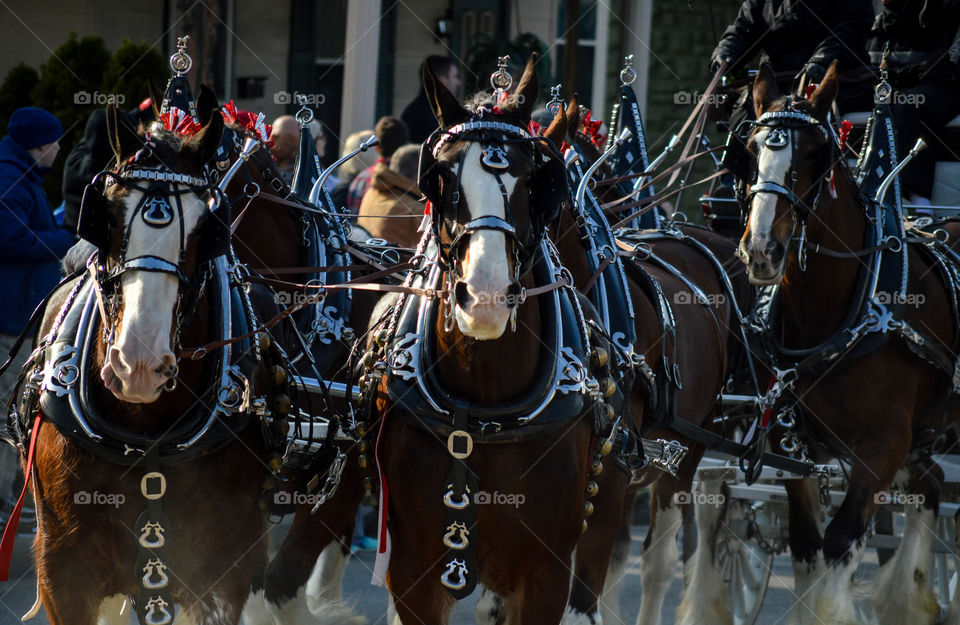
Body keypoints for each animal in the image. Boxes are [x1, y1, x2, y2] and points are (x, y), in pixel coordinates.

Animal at [736, 63, 952, 624]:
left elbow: (839, 542)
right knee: (932, 486)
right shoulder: (788, 446)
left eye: (816, 153)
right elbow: (807, 545)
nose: (761, 250)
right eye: (749, 147)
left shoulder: (883, 446)